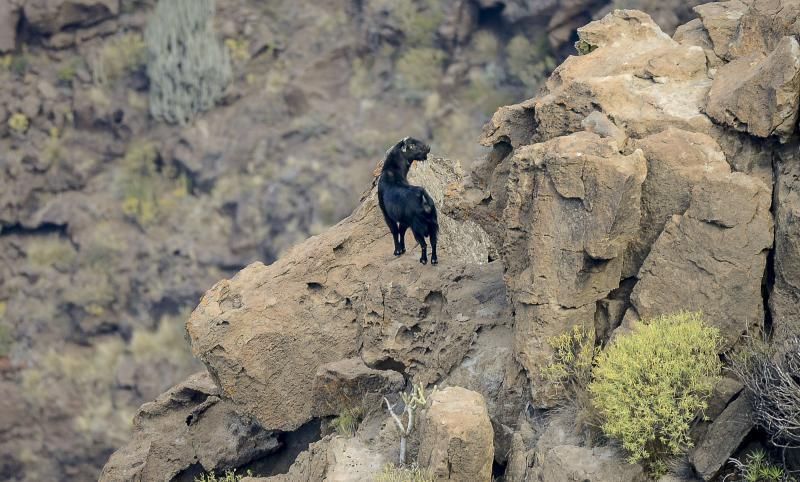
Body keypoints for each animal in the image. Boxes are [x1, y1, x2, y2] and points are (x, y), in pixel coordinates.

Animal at [380, 136, 440, 266]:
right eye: (412, 145)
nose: (428, 147)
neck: (391, 173)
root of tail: (423, 199)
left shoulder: (387, 214)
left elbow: (394, 231)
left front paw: (397, 251)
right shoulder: (405, 220)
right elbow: (401, 231)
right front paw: (402, 249)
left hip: (417, 227)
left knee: (424, 244)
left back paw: (423, 260)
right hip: (433, 223)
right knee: (433, 242)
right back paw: (434, 260)